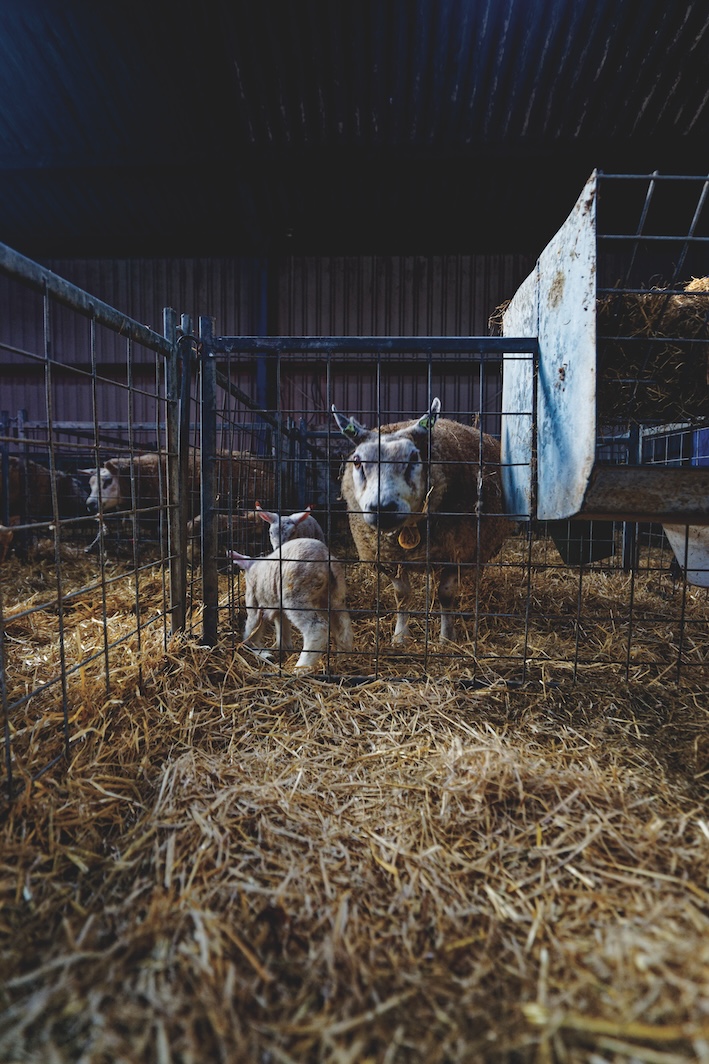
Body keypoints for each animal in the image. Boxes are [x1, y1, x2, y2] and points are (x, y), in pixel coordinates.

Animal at [227, 536, 351, 668]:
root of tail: (325, 555)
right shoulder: (277, 604)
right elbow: (282, 624)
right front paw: (282, 647)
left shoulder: (253, 600)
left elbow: (252, 627)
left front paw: (255, 648)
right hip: (333, 594)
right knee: (343, 624)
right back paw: (344, 658)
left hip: (295, 595)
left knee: (317, 628)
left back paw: (301, 667)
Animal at [332, 395, 508, 642]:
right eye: (357, 461)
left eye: (414, 457)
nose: (382, 508)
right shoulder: (389, 558)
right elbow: (402, 596)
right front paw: (400, 637)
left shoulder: (456, 553)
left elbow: (445, 595)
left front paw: (446, 638)